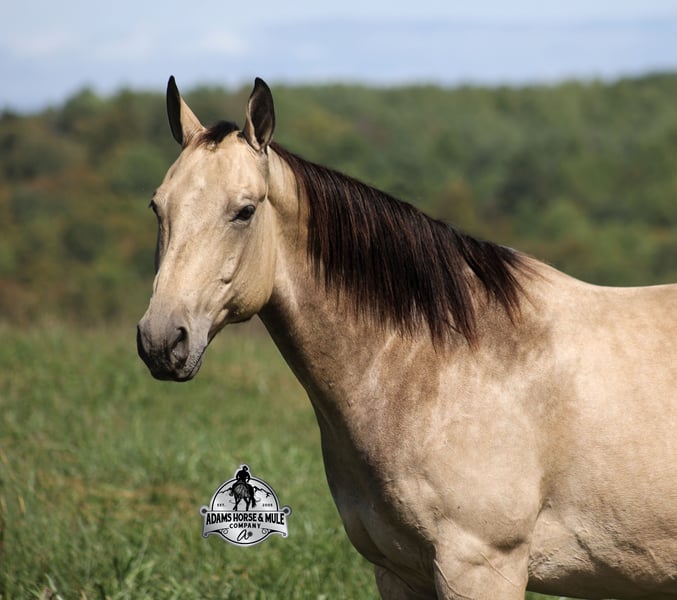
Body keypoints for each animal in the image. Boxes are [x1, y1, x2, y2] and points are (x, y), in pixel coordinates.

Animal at [137, 76, 677, 599]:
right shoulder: (399, 571)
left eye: (245, 211)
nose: (161, 341)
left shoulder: (481, 567)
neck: (442, 365)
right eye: (157, 207)